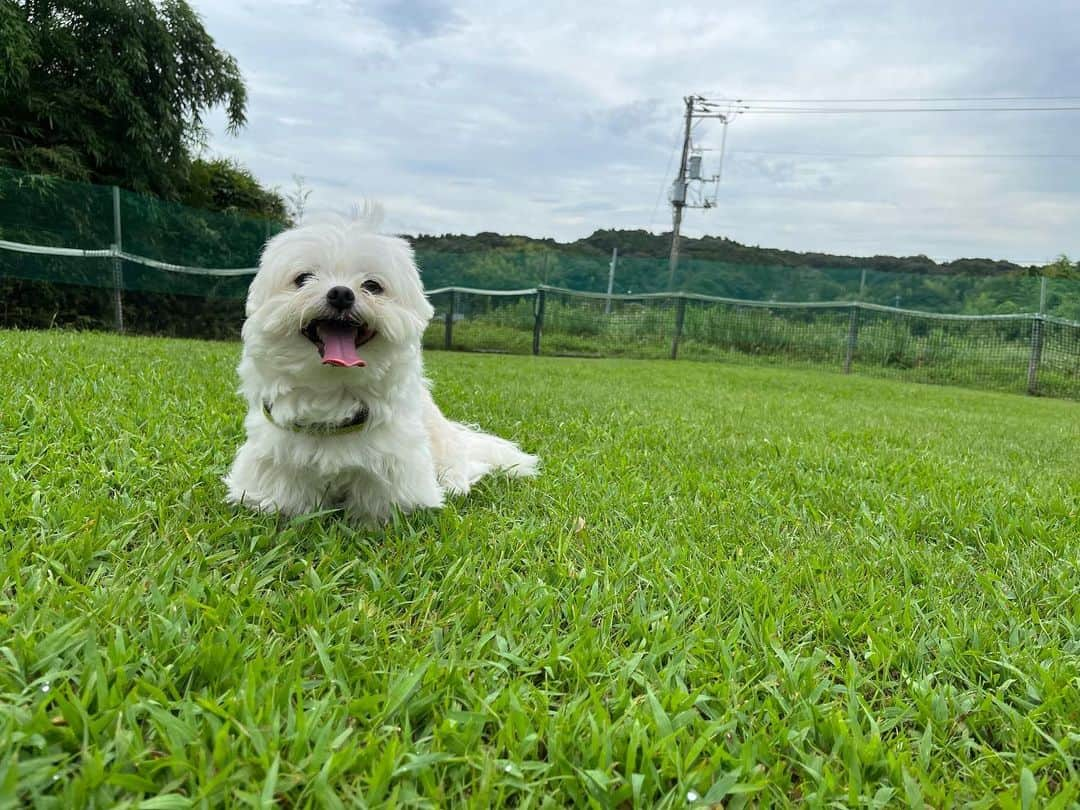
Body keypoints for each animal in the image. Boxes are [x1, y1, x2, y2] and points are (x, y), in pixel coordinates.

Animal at [225, 212, 537, 522]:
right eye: (302, 279)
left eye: (372, 286)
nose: (341, 293)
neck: (334, 388)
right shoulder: (278, 453)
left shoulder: (395, 460)